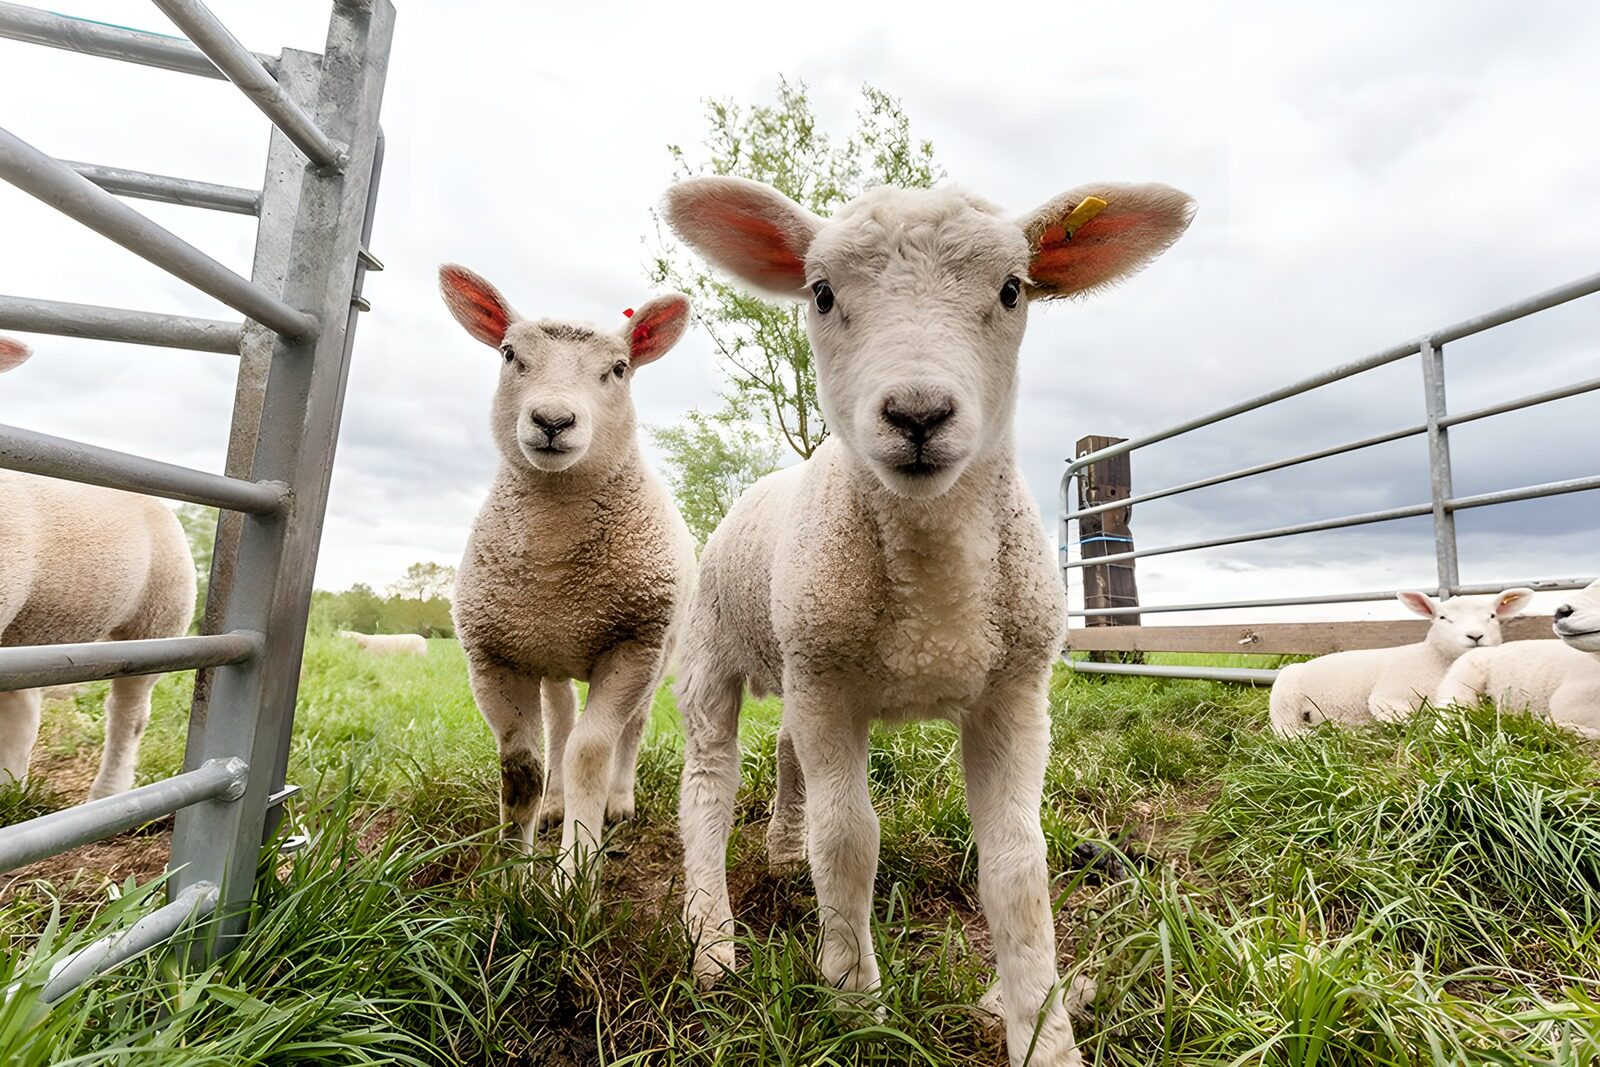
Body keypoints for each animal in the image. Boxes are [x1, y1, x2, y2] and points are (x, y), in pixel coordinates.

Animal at [438, 266, 697, 875]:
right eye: (510, 354)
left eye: (619, 368)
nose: (553, 421)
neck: (555, 567)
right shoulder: (493, 656)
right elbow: (523, 765)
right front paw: (511, 871)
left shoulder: (633, 644)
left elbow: (590, 752)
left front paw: (575, 869)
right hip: (549, 651)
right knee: (560, 718)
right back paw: (555, 805)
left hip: (662, 651)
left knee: (631, 727)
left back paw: (619, 801)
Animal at [663, 175, 1196, 1066]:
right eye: (821, 293)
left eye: (1013, 290)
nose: (917, 414)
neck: (933, 592)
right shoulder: (829, 687)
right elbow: (848, 841)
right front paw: (855, 1003)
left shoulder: (1012, 692)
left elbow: (1018, 867)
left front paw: (1043, 1031)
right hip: (715, 651)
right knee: (707, 781)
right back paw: (712, 942)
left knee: (784, 753)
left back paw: (780, 851)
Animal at [1269, 588, 1534, 737]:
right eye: (1443, 618)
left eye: (1492, 616)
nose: (1475, 636)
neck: (1432, 660)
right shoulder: (1386, 695)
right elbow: (1408, 719)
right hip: (1284, 698)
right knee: (1283, 730)